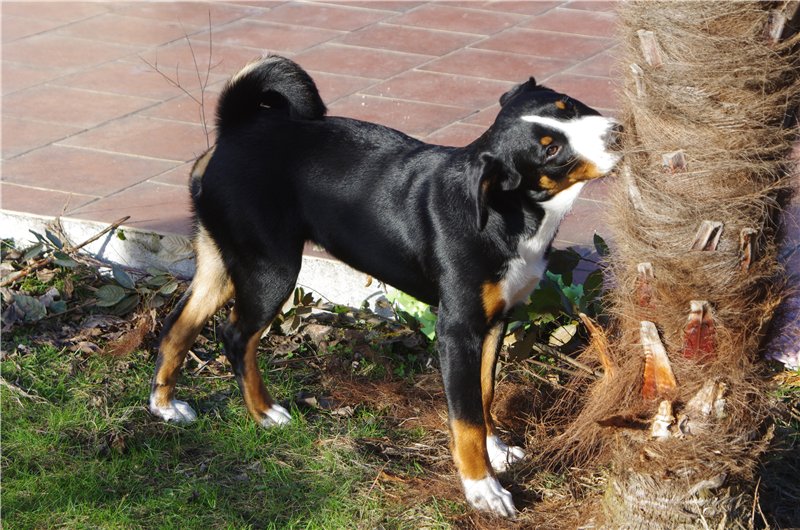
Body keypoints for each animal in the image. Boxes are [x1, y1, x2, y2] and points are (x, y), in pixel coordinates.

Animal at [149, 55, 621, 517]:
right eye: (552, 150)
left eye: (568, 105)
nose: (617, 135)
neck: (509, 212)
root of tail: (237, 128)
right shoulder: (457, 330)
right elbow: (465, 417)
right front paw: (483, 489)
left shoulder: (492, 324)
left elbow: (483, 394)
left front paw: (497, 449)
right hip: (271, 269)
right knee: (235, 336)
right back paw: (264, 412)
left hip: (219, 260)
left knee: (178, 325)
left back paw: (165, 406)